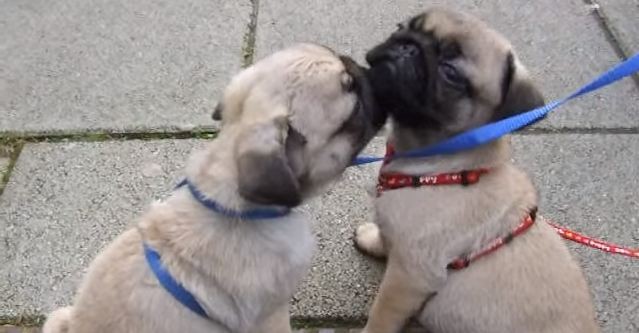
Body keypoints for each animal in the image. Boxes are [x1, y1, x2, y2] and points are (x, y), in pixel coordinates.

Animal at [356, 7, 600, 332]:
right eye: (401, 27)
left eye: (451, 72)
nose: (407, 46)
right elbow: (385, 236)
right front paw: (372, 239)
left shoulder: (408, 277)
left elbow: (381, 315)